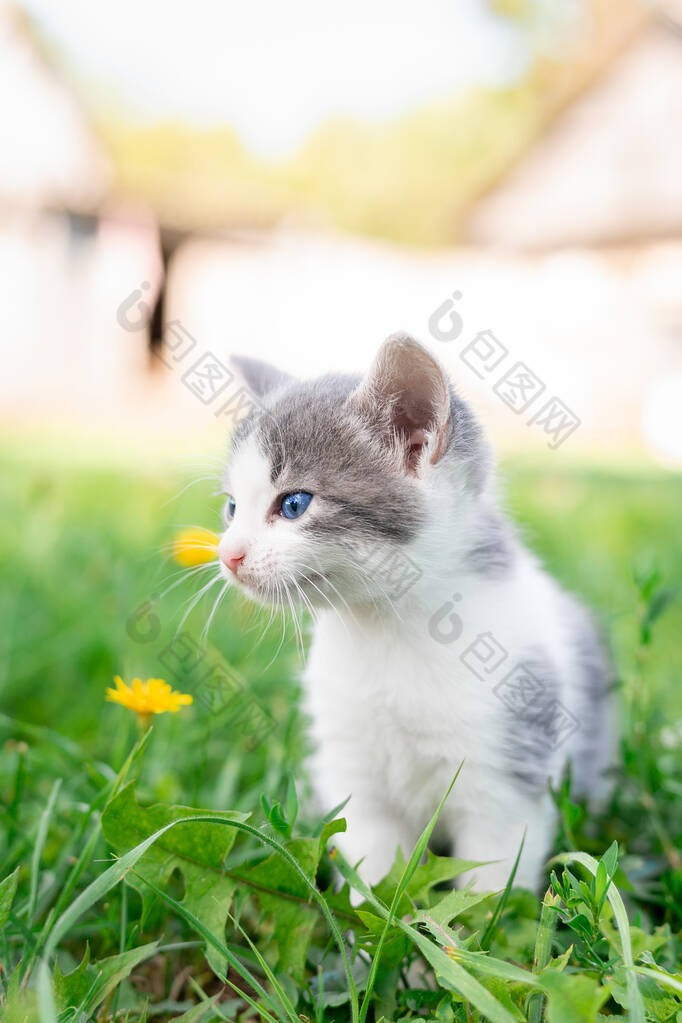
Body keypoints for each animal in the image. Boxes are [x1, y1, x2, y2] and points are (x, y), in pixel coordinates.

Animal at [217, 337, 613, 896]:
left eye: (293, 504)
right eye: (232, 508)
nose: (228, 554)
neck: (388, 631)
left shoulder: (509, 765)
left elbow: (493, 876)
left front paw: (481, 916)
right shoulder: (353, 768)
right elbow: (374, 865)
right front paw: (367, 916)